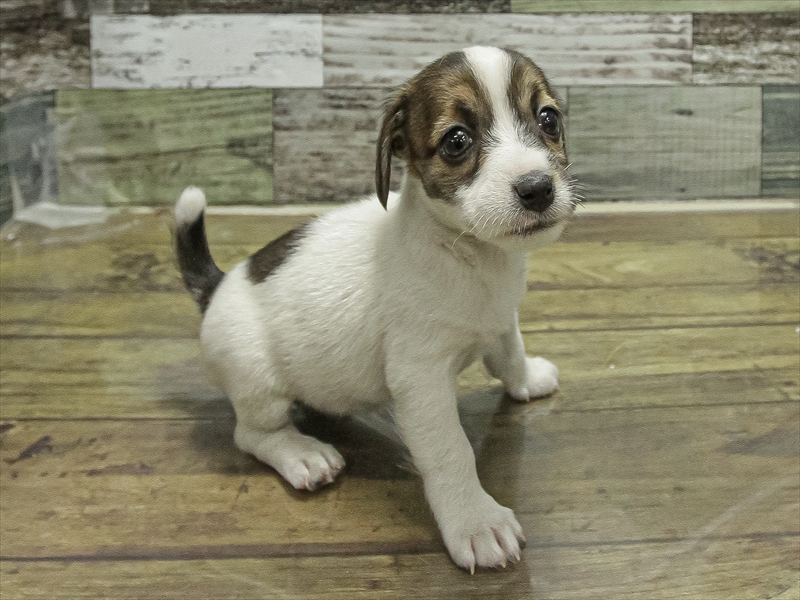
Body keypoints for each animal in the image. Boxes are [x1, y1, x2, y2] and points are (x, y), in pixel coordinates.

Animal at [175, 46, 577, 572]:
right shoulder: (421, 376)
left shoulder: (500, 320)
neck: (469, 253)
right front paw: (474, 521)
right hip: (259, 384)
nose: (537, 188)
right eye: (457, 141)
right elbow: (451, 451)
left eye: (548, 119)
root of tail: (218, 284)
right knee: (252, 434)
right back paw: (301, 453)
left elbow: (510, 352)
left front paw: (527, 378)